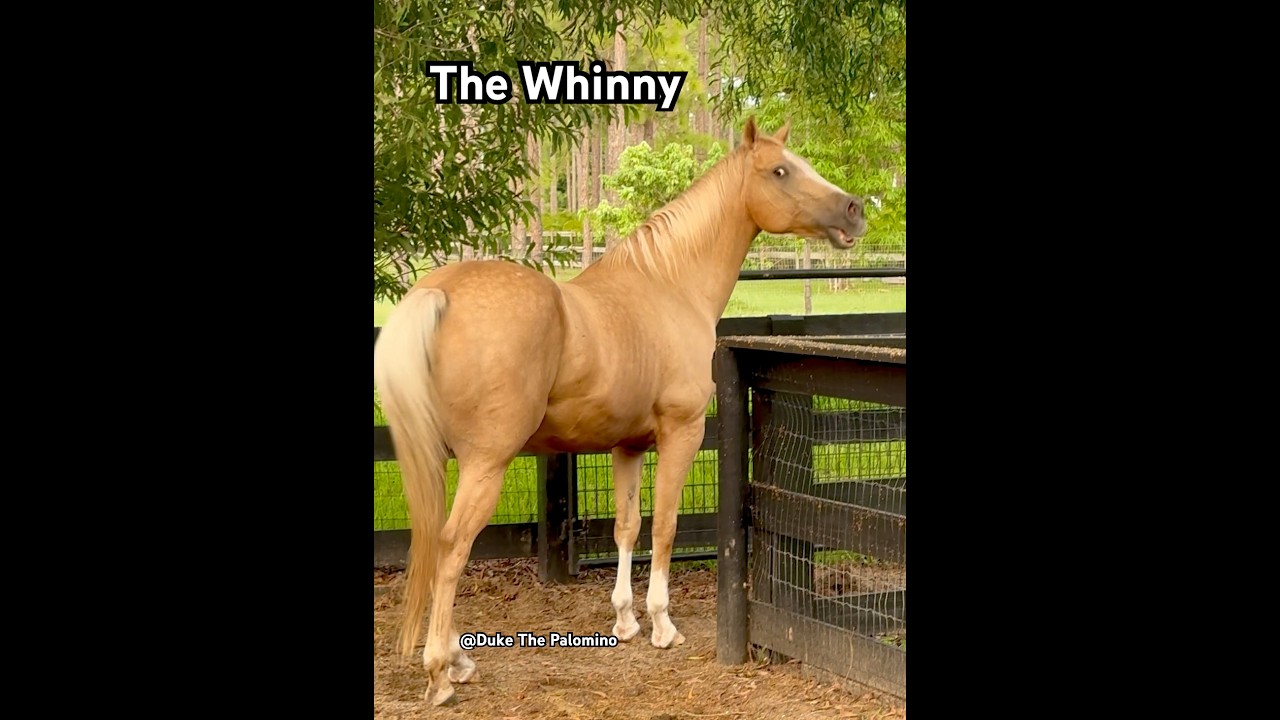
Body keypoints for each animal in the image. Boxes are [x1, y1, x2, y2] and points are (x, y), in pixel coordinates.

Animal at [373, 116, 867, 706]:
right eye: (780, 171)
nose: (854, 210)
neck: (669, 287)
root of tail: (439, 291)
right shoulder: (682, 434)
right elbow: (665, 527)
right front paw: (662, 625)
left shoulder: (626, 446)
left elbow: (627, 527)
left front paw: (626, 620)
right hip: (485, 465)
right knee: (451, 548)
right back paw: (442, 673)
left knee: (431, 543)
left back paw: (457, 659)